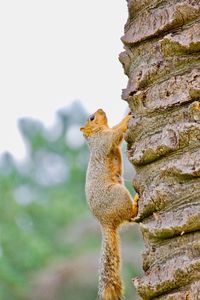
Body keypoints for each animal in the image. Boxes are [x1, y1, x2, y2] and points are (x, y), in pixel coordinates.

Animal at [80, 109, 138, 298]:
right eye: (92, 118)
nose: (101, 109)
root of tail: (105, 222)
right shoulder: (105, 140)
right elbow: (116, 133)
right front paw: (127, 118)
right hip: (119, 195)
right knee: (130, 215)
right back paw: (136, 202)